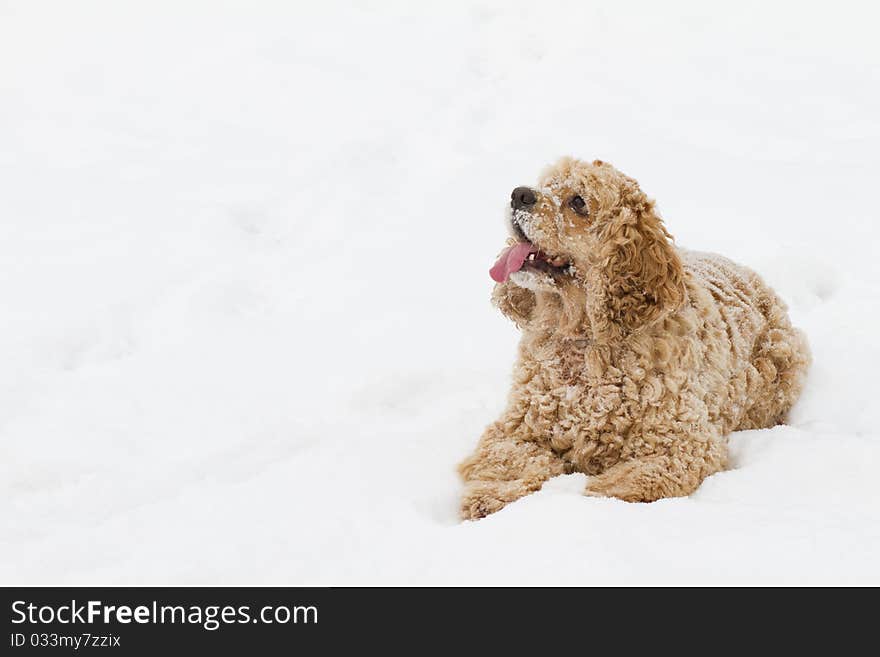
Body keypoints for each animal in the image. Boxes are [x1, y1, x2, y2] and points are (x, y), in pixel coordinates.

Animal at [460, 158, 812, 516]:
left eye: (578, 202)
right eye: (546, 184)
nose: (519, 194)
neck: (585, 342)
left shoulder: (682, 445)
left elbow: (625, 483)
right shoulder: (515, 429)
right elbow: (511, 460)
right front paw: (491, 497)